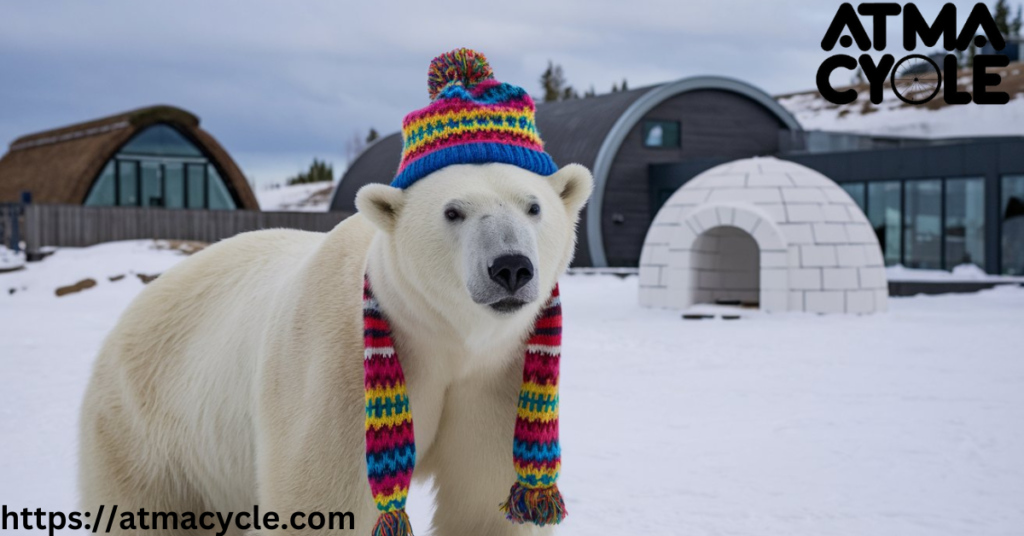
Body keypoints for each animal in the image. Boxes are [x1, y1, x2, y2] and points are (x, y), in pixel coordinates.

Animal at [77, 163, 593, 536]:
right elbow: (322, 501)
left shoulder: (496, 380)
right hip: (150, 430)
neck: (444, 340)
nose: (510, 267)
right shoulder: (338, 373)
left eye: (533, 207)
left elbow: (487, 502)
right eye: (453, 212)